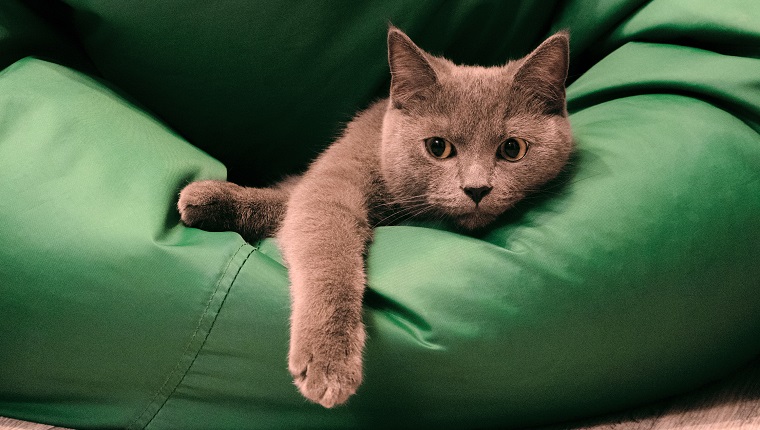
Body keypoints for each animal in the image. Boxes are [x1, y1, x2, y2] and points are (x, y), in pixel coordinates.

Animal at [178, 26, 568, 406]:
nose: (477, 189)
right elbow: (325, 243)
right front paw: (329, 361)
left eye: (512, 149)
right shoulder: (335, 178)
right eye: (437, 147)